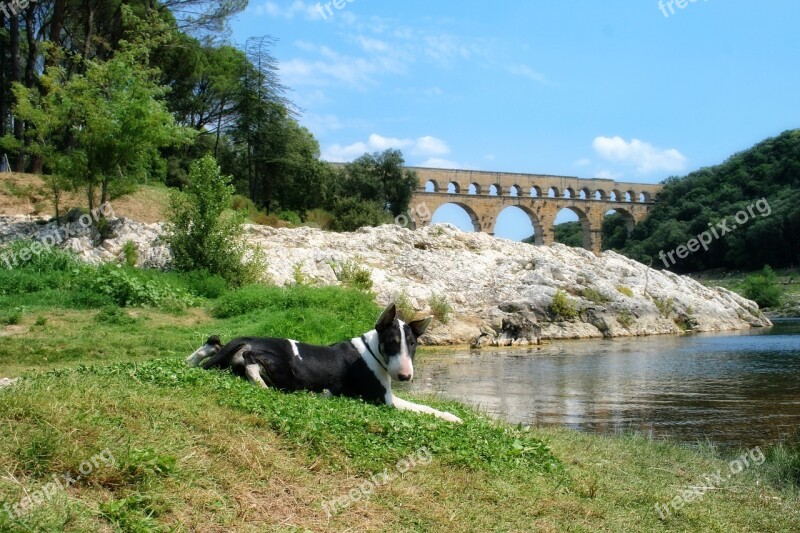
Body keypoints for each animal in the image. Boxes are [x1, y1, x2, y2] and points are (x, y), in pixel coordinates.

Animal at [186, 302, 462, 422]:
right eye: (392, 341)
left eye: (413, 344)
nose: (406, 377)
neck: (372, 351)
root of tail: (245, 339)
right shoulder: (383, 400)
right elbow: (420, 407)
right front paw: (451, 417)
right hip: (283, 371)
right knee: (250, 363)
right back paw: (262, 383)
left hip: (226, 358)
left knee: (213, 346)